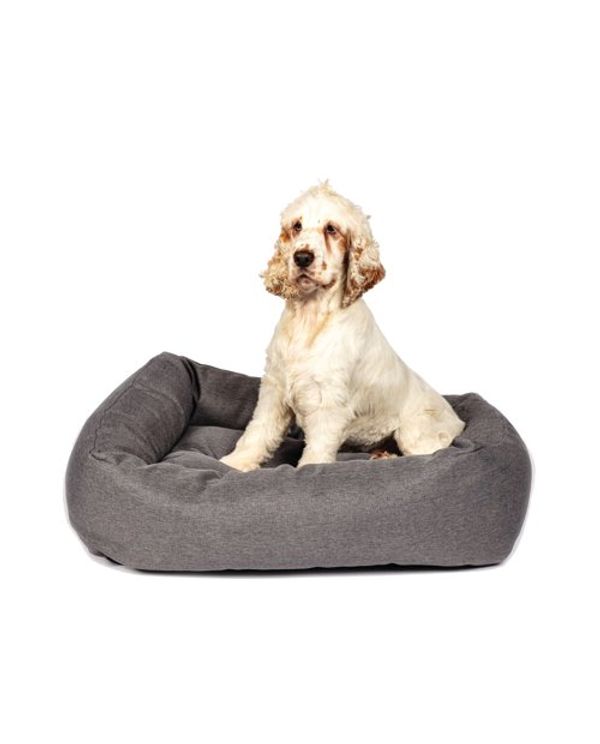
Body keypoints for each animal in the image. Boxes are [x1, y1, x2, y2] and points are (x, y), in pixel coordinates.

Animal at [220, 182, 465, 471]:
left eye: (331, 229)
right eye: (297, 226)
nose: (302, 257)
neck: (310, 315)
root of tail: (459, 421)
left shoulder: (329, 403)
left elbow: (316, 450)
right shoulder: (274, 390)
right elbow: (258, 431)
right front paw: (235, 463)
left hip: (414, 431)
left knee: (427, 453)